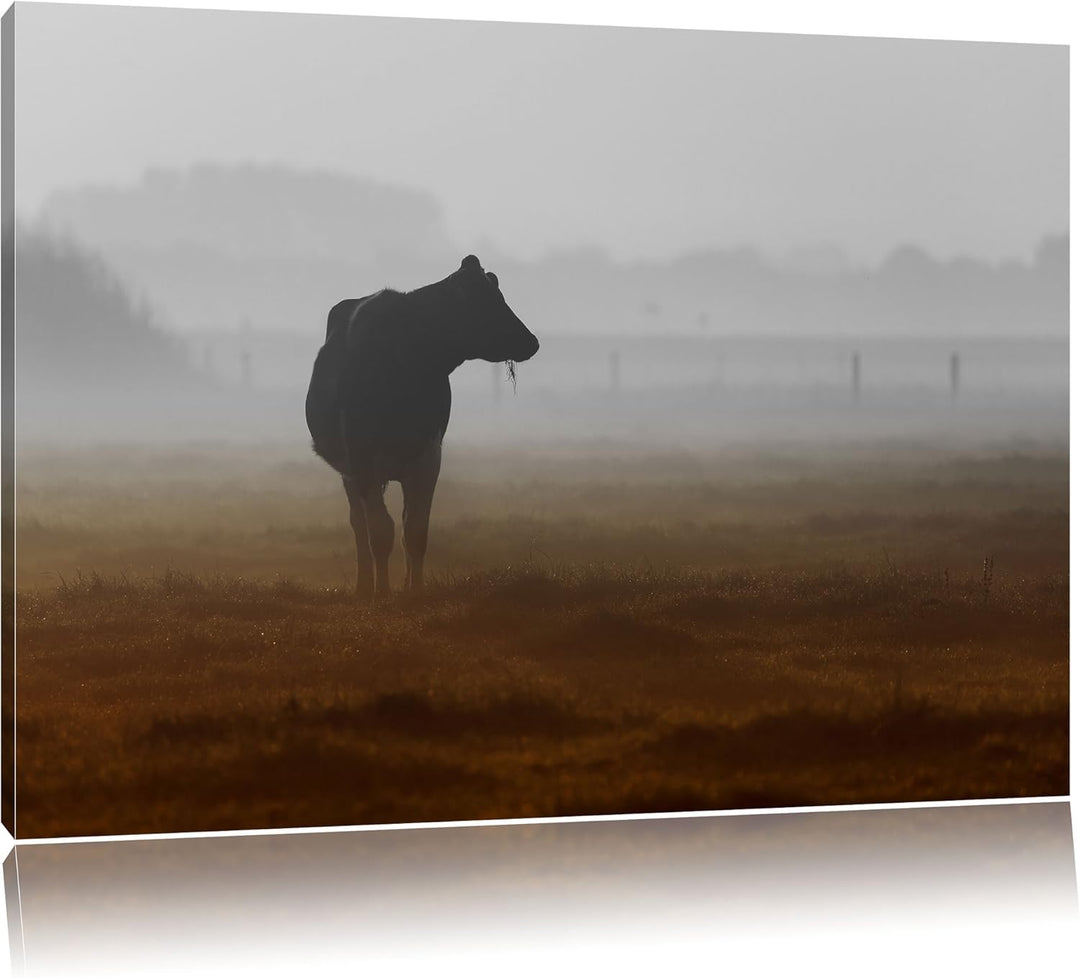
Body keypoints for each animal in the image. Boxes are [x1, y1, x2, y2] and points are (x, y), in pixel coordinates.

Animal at [306, 255, 539, 600]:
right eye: (487, 302)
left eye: (500, 296)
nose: (532, 342)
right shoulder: (361, 458)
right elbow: (380, 532)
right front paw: (382, 592)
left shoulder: (428, 455)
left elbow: (415, 531)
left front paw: (414, 590)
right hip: (350, 471)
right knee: (359, 525)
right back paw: (364, 585)